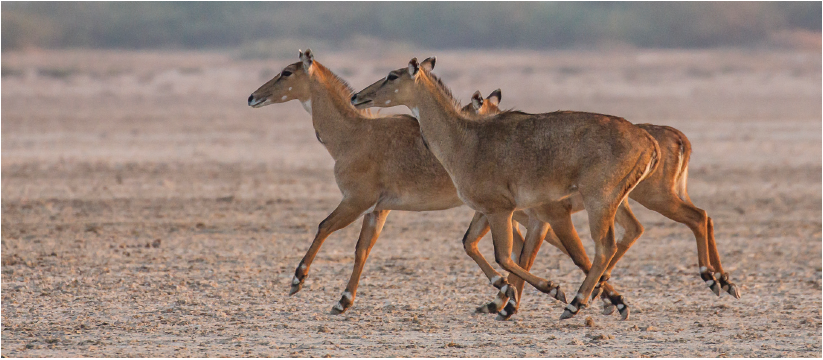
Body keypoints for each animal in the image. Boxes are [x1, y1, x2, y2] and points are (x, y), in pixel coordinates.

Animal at [246, 50, 572, 316]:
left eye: (286, 72)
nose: (251, 97)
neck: (352, 134)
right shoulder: (378, 209)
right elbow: (362, 249)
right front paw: (343, 301)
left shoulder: (356, 200)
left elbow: (323, 226)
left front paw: (297, 280)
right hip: (506, 211)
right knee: (526, 247)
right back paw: (512, 299)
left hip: (513, 210)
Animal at [354, 57, 664, 320]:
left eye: (392, 75)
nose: (356, 96)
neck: (464, 140)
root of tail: (649, 143)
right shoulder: (486, 209)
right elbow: (471, 244)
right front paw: (506, 294)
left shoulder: (501, 209)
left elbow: (504, 255)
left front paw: (550, 289)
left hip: (600, 199)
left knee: (604, 248)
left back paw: (576, 303)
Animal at [466, 88, 744, 320]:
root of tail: (677, 137)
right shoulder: (510, 215)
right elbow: (498, 249)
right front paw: (502, 304)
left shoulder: (543, 216)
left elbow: (538, 255)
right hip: (625, 202)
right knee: (661, 224)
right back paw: (723, 281)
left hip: (647, 198)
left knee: (697, 217)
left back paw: (711, 278)